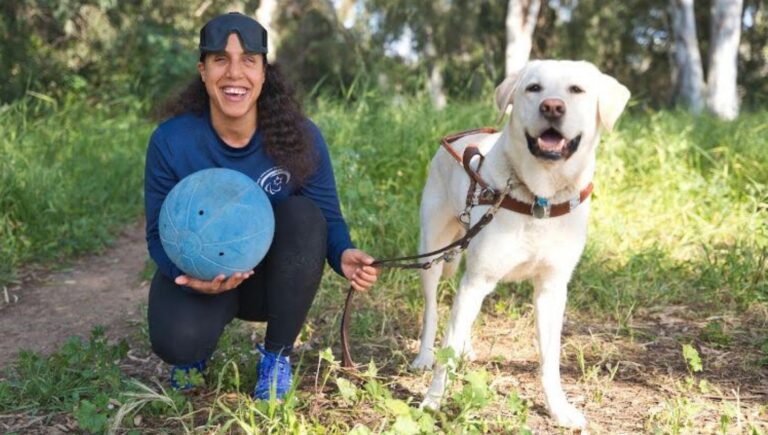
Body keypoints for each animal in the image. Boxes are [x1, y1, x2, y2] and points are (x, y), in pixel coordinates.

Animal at [414, 60, 632, 430]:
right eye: (534, 88)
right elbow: (447, 352)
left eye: (576, 90)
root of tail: (458, 139)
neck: (540, 196)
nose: (552, 107)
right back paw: (424, 355)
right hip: (434, 253)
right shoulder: (478, 278)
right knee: (432, 310)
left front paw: (559, 409)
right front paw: (432, 403)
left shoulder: (551, 289)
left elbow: (550, 360)